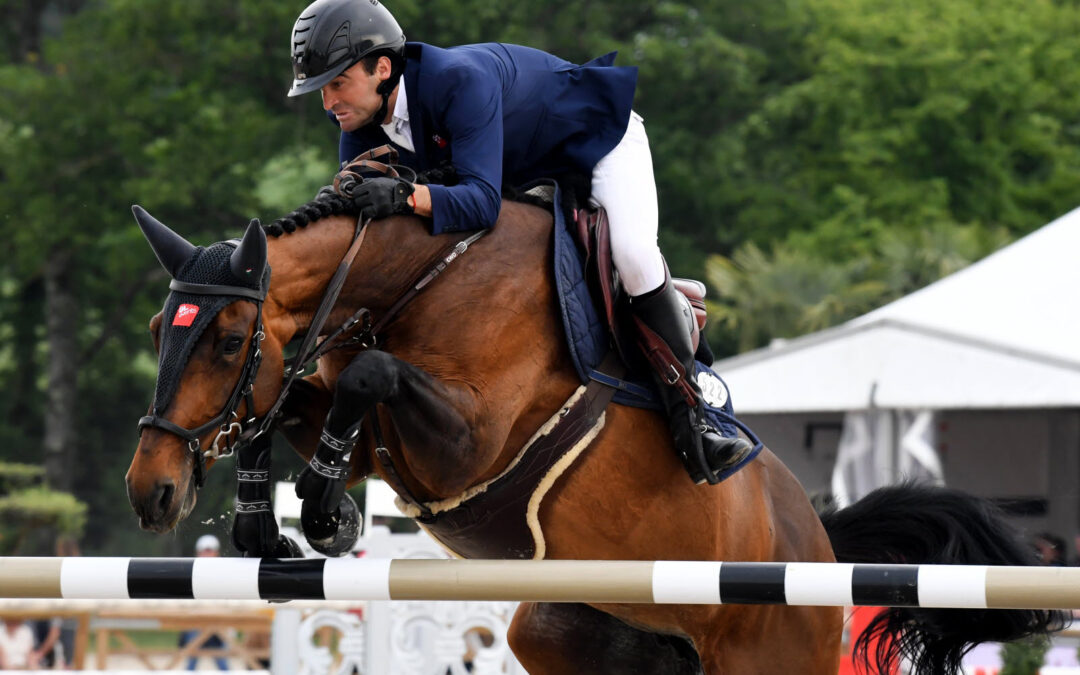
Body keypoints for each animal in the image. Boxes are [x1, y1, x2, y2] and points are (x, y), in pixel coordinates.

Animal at [126, 191, 1062, 673]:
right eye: (158, 329)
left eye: (223, 339)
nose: (150, 490)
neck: (417, 280)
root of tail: (820, 544)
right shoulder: (379, 438)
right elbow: (292, 401)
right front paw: (269, 519)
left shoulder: (471, 443)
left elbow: (365, 376)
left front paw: (321, 512)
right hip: (577, 634)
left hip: (770, 651)